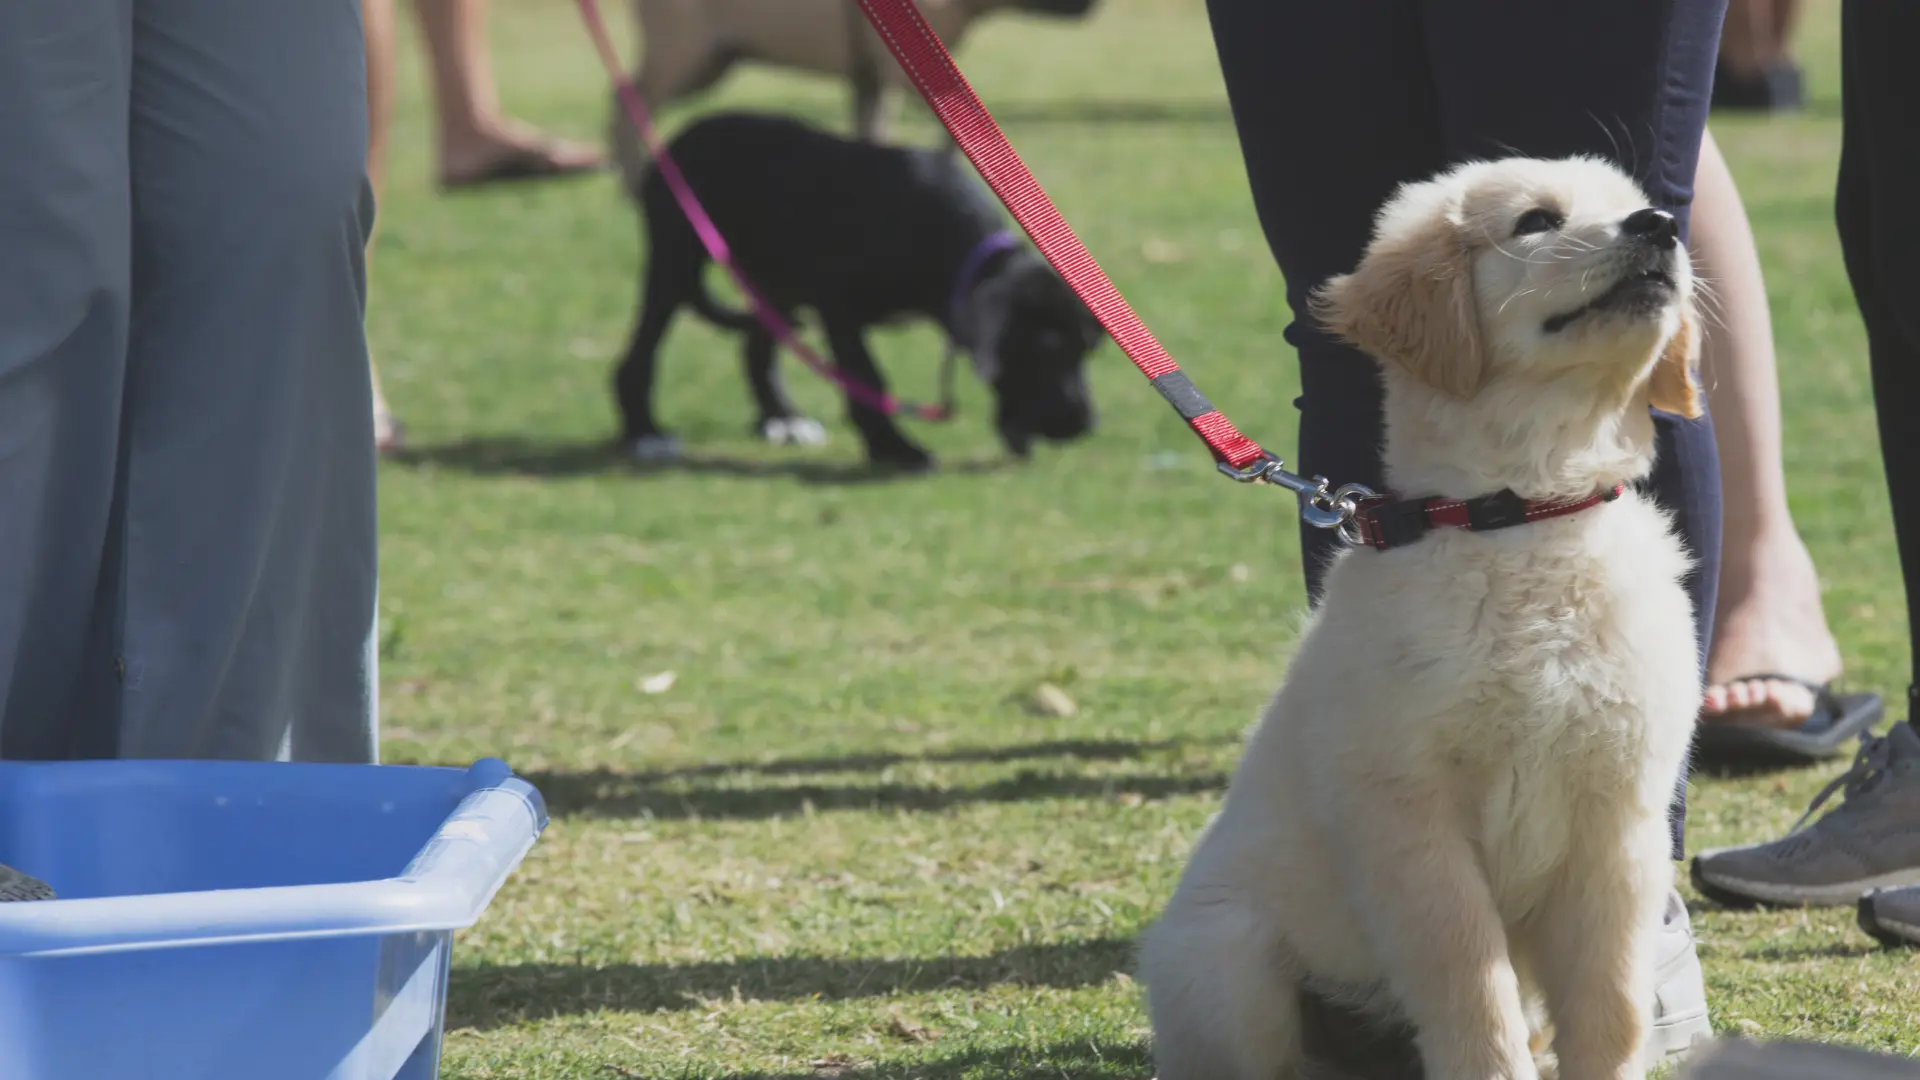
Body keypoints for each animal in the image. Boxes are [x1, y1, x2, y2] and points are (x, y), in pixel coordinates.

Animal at [622, 111, 1105, 468]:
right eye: (1048, 350)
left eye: (1086, 351)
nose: (1082, 425)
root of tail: (676, 141)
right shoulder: (838, 305)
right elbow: (866, 375)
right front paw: (893, 447)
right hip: (675, 262)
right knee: (639, 356)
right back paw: (644, 432)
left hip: (777, 286)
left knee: (756, 350)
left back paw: (783, 420)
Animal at [1128, 157, 1704, 1076]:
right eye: (1537, 221)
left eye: (1637, 204)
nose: (1659, 226)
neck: (1525, 520)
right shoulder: (1410, 819)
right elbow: (1471, 989)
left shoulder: (1621, 816)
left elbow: (1611, 1006)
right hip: (1227, 966)